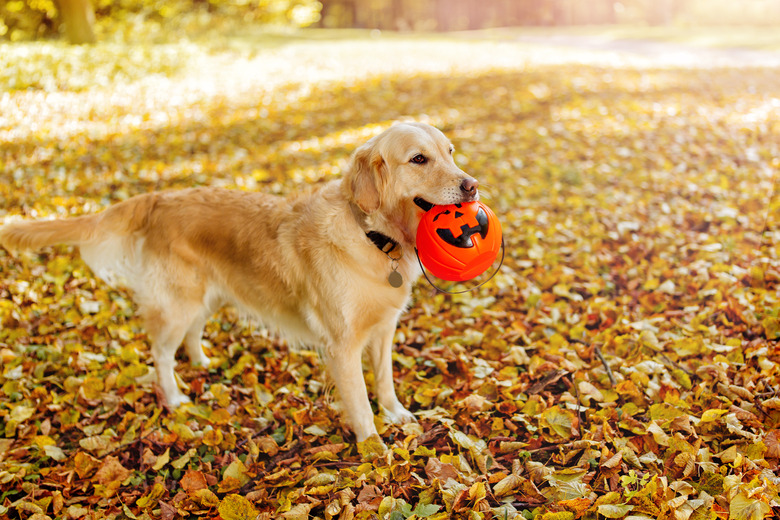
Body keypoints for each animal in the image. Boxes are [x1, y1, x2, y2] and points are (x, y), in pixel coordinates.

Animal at [0, 122, 478, 442]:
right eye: (419, 159)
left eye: (451, 152)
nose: (472, 186)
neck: (373, 235)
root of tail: (161, 198)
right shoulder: (341, 345)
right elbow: (359, 400)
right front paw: (374, 448)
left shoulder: (383, 329)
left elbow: (383, 379)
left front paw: (395, 414)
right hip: (178, 303)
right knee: (161, 352)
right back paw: (173, 397)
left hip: (206, 298)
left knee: (191, 335)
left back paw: (202, 362)